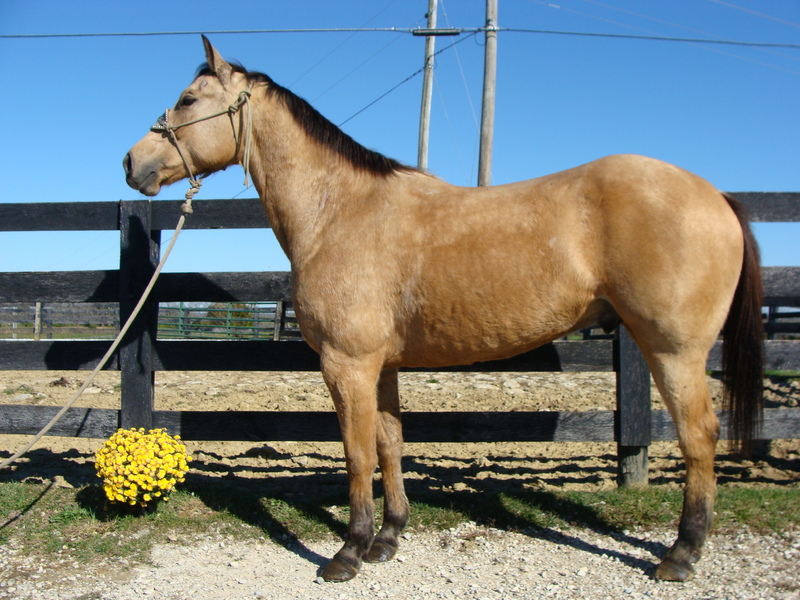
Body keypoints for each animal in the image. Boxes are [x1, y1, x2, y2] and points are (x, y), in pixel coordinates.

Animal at [124, 36, 764, 584]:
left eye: (188, 98)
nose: (132, 162)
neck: (339, 211)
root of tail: (714, 195)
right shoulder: (380, 367)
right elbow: (390, 445)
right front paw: (387, 539)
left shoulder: (346, 365)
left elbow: (357, 454)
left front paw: (349, 552)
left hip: (674, 351)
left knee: (698, 435)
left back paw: (681, 554)